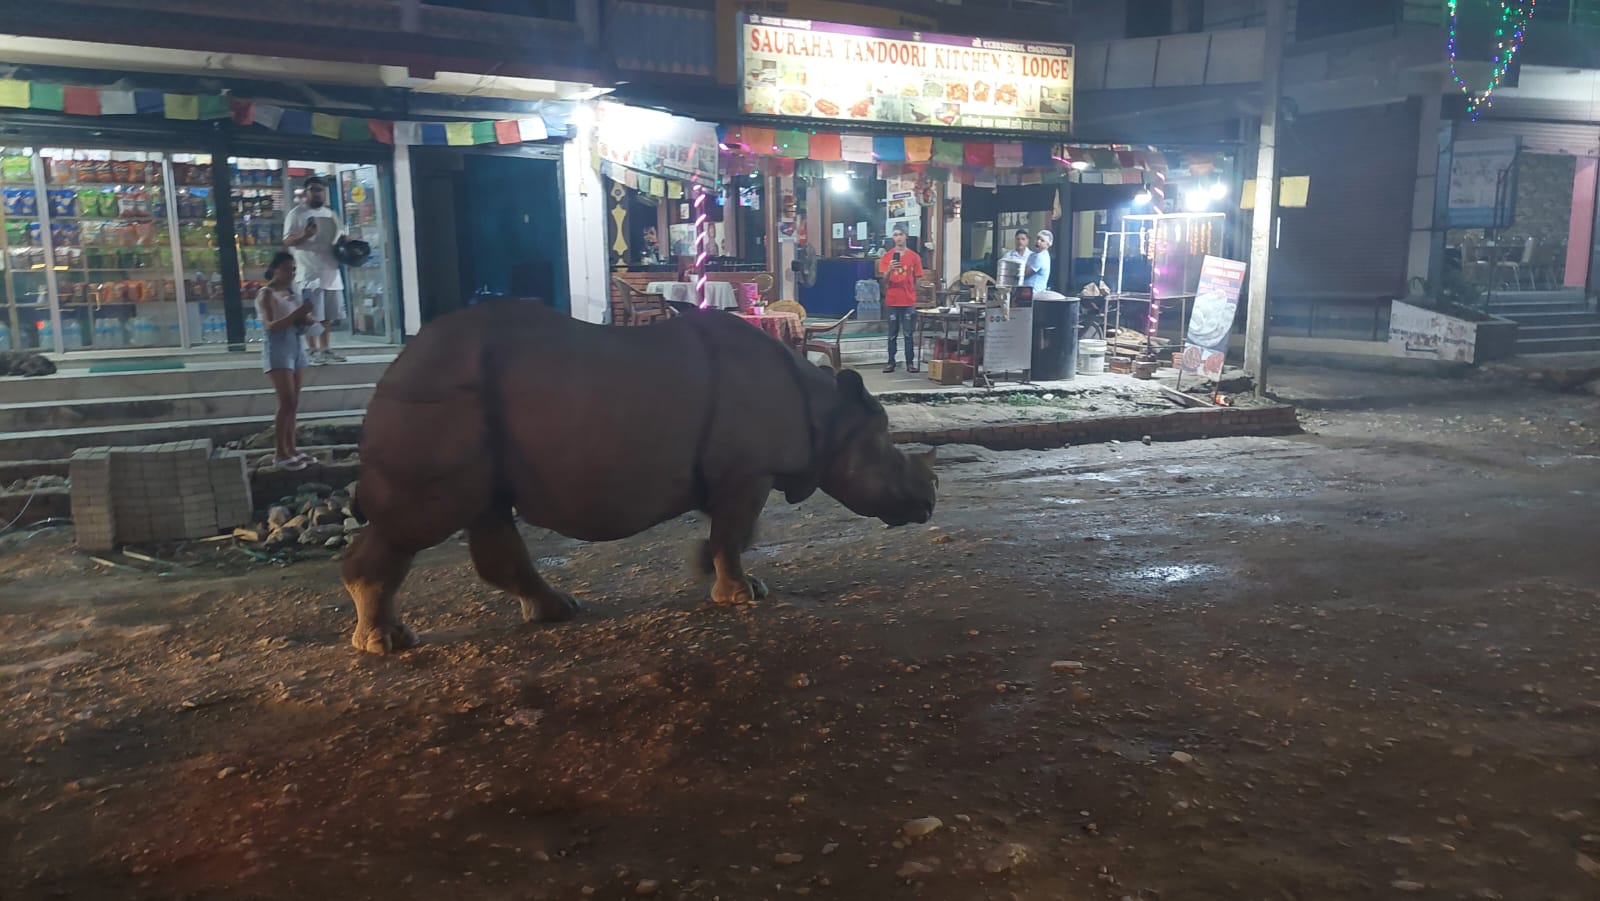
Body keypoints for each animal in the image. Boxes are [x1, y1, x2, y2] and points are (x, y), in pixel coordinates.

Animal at [342, 300, 938, 654]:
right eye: (890, 457)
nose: (928, 502)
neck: (826, 413)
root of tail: (397, 364)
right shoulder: (747, 471)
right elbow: (735, 533)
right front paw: (741, 595)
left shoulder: (738, 473)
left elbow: (733, 533)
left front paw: (716, 573)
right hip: (441, 400)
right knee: (419, 521)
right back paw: (386, 642)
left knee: (488, 513)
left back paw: (557, 611)